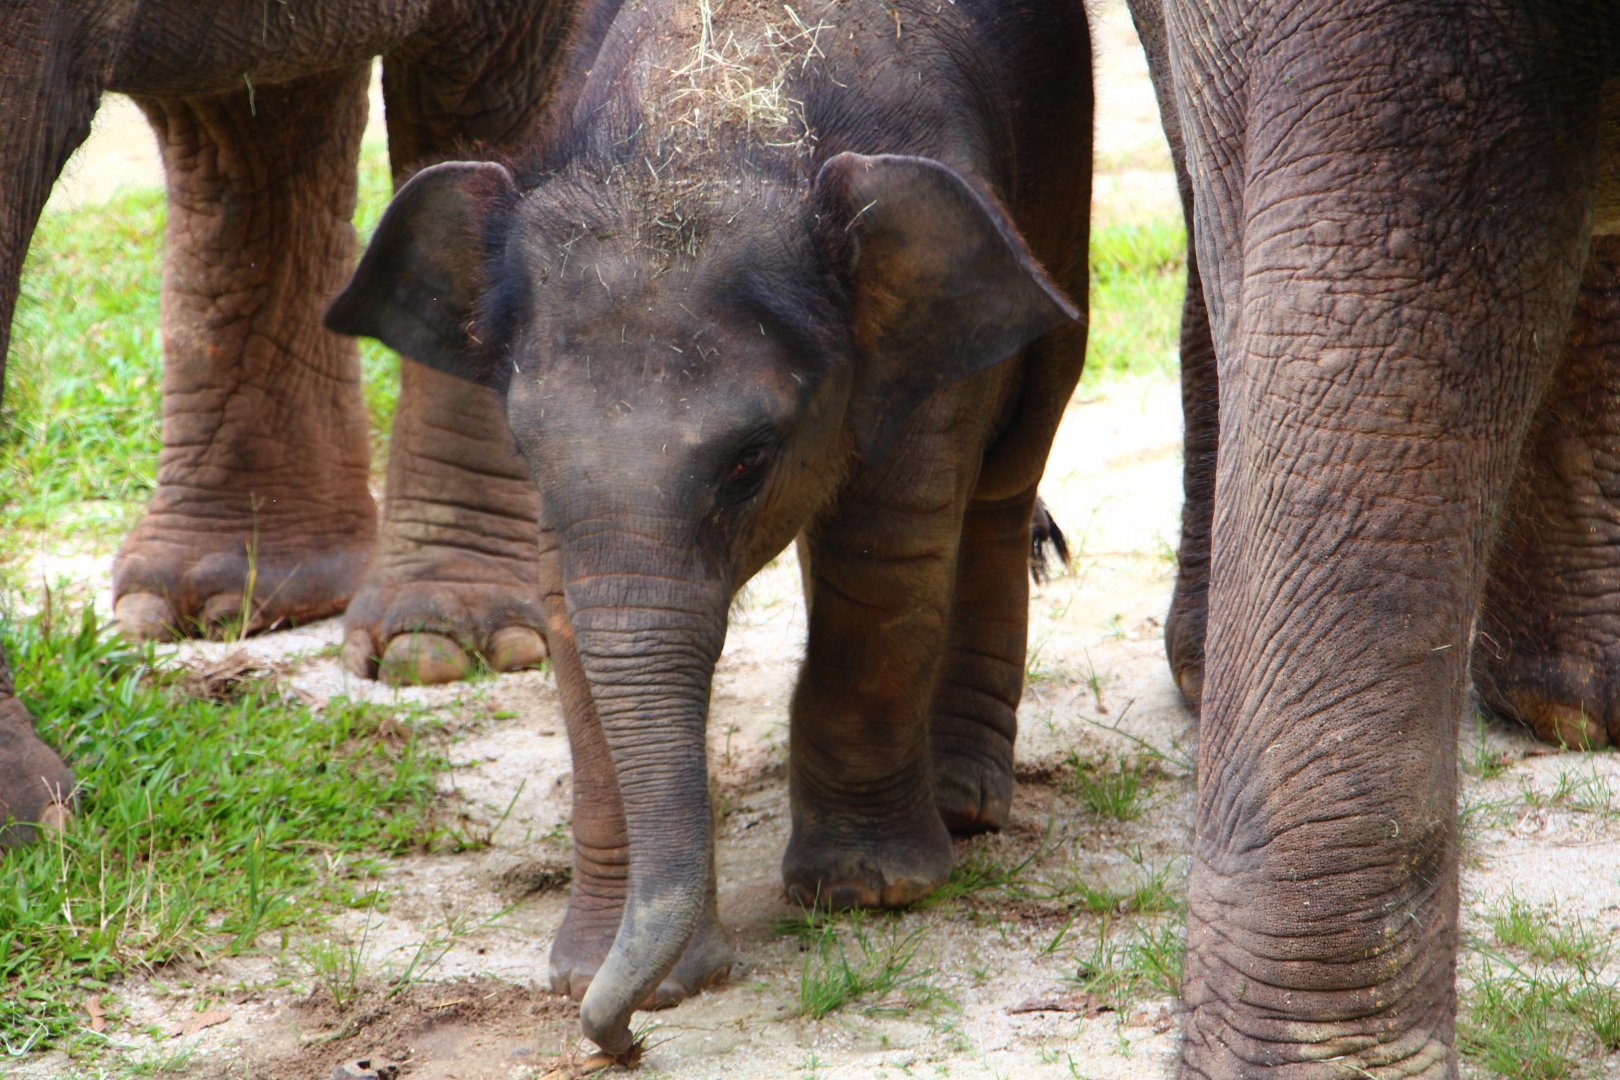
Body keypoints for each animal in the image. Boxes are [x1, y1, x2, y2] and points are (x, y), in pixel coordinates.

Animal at [326, 0, 1093, 1053]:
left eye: (748, 461)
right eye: (524, 445)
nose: (621, 1041)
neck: (704, 124)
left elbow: (887, 549)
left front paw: (867, 890)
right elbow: (571, 610)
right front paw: (602, 975)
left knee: (1001, 481)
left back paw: (964, 805)